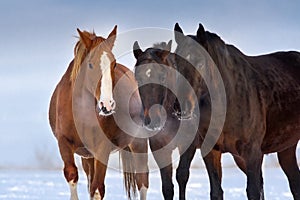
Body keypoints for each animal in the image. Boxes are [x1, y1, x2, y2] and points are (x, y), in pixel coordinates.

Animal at [49, 25, 149, 199]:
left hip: (138, 143)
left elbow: (97, 189)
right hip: (88, 158)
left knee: (142, 181)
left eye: (113, 64)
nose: (107, 104)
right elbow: (73, 176)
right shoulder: (64, 143)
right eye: (90, 65)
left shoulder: (102, 148)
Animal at [173, 22, 300, 199]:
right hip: (286, 148)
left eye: (200, 63)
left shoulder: (252, 154)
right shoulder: (211, 151)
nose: (181, 106)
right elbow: (216, 191)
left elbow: (253, 191)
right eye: (176, 62)